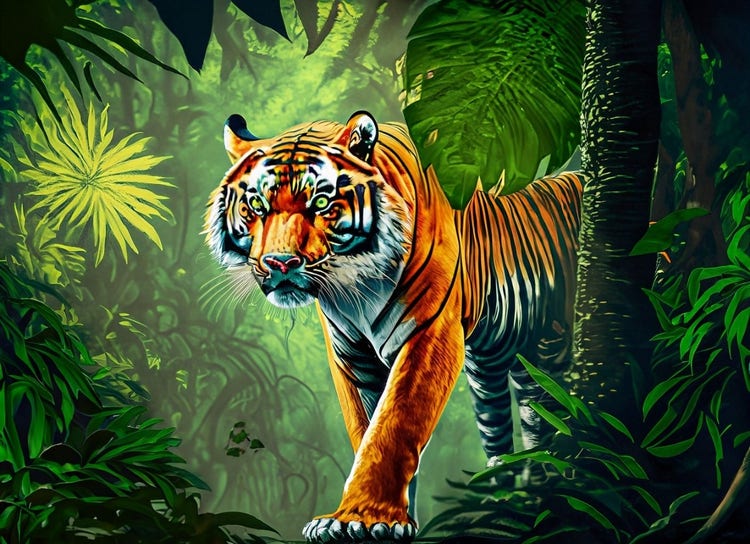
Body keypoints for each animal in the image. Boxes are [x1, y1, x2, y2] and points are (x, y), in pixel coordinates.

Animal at [205, 111, 582, 543]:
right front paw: (387, 520)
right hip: (496, 368)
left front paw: (360, 519)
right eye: (256, 205)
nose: (279, 263)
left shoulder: (429, 330)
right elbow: (365, 430)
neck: (355, 289)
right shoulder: (352, 357)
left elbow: (394, 425)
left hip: (556, 350)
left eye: (321, 203)